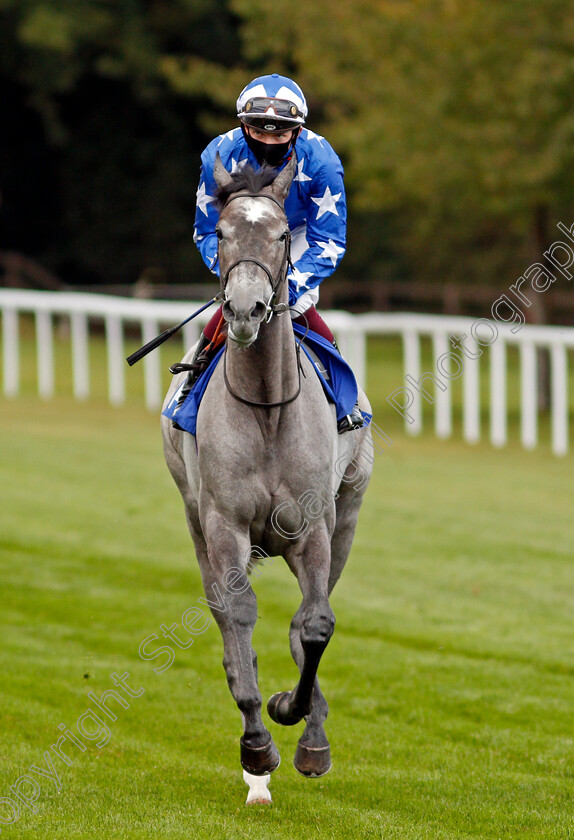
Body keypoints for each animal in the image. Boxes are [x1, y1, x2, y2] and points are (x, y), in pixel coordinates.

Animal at [162, 151, 376, 800]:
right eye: (222, 233)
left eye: (283, 234)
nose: (245, 309)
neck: (266, 406)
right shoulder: (224, 523)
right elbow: (238, 616)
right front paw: (258, 741)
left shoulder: (315, 526)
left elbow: (315, 624)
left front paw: (304, 727)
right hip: (196, 519)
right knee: (226, 614)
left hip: (348, 513)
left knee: (308, 616)